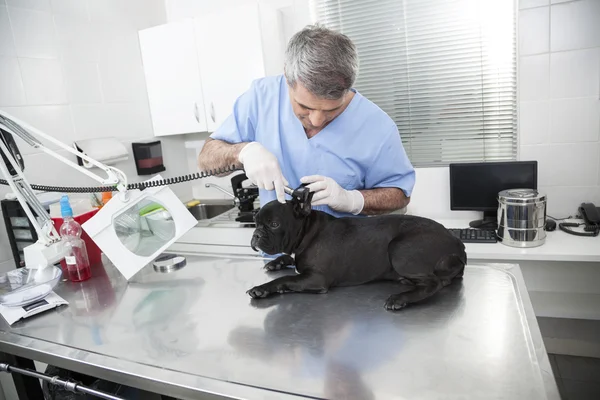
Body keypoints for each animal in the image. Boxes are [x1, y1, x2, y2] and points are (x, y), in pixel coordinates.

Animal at [246, 198, 466, 312]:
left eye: (274, 224)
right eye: (255, 222)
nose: (256, 234)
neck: (308, 230)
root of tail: (456, 242)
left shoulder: (316, 279)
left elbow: (285, 279)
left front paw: (262, 289)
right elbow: (289, 260)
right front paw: (276, 262)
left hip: (400, 249)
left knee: (434, 283)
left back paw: (400, 298)